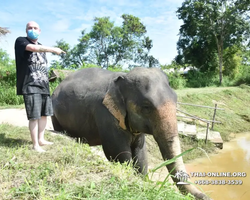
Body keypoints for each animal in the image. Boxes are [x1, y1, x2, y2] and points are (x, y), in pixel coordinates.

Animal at [51, 67, 210, 200]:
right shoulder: (106, 114)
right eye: (146, 107)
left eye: (176, 100)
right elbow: (119, 153)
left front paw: (144, 182)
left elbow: (140, 154)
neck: (122, 77)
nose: (207, 197)